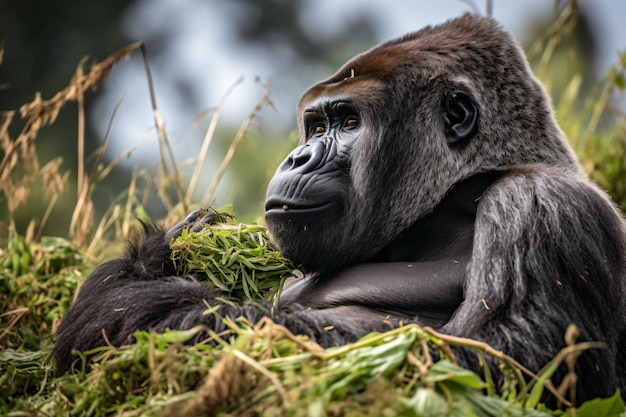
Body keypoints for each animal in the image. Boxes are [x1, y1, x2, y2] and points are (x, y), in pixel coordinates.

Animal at [52, 14, 624, 404]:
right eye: (316, 125)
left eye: (349, 123)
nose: (297, 156)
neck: (462, 192)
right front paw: (161, 255)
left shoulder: (541, 206)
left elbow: (489, 366)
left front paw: (159, 303)